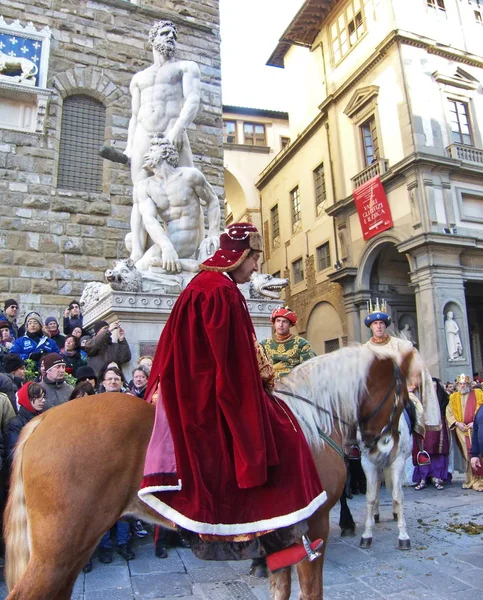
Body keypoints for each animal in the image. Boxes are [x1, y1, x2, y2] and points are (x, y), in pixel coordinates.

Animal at [360, 412, 412, 548]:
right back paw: (376, 514)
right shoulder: (367, 462)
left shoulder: (398, 461)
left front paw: (403, 536)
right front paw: (367, 535)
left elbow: (398, 496)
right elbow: (370, 496)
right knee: (378, 485)